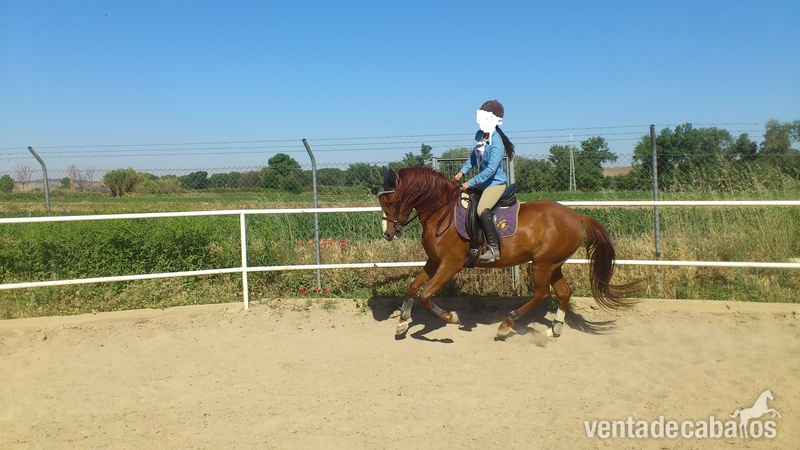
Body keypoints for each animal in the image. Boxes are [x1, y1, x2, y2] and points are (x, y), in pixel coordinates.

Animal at [377, 166, 639, 339]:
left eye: (390, 201)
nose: (388, 234)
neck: (442, 212)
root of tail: (577, 216)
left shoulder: (450, 264)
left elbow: (425, 295)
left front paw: (450, 317)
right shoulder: (434, 261)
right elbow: (413, 287)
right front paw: (402, 322)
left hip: (542, 264)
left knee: (543, 294)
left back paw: (506, 325)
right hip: (554, 264)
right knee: (564, 293)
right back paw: (554, 328)